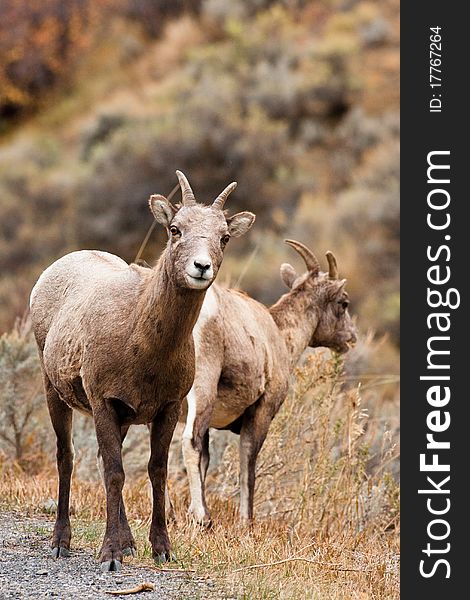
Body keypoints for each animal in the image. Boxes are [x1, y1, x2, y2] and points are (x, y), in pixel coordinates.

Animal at [27, 171, 255, 568]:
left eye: (224, 237)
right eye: (175, 229)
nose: (201, 267)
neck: (144, 346)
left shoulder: (167, 409)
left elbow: (156, 472)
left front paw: (161, 549)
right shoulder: (103, 403)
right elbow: (115, 473)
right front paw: (110, 554)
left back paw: (129, 542)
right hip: (53, 391)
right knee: (66, 458)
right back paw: (61, 542)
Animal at [180, 239, 356, 524]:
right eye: (344, 303)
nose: (351, 337)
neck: (279, 335)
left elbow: (206, 461)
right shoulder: (262, 412)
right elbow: (248, 464)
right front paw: (246, 522)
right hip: (202, 391)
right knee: (190, 442)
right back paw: (203, 517)